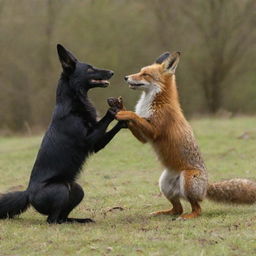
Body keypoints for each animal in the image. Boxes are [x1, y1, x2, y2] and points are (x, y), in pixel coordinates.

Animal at [0, 44, 126, 224]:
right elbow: (103, 121)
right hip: (60, 189)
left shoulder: (96, 144)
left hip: (76, 189)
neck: (74, 100)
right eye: (89, 69)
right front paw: (113, 110)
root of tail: (28, 194)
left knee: (62, 217)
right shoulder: (88, 140)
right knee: (52, 220)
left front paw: (123, 121)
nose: (112, 72)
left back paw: (80, 220)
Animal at [115, 51, 256, 218]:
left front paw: (124, 113)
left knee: (197, 209)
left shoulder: (155, 130)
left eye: (145, 74)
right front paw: (121, 110)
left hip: (187, 181)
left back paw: (187, 217)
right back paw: (163, 213)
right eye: (140, 71)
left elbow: (135, 116)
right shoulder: (145, 137)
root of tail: (205, 186)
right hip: (164, 184)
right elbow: (136, 123)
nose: (126, 77)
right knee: (177, 208)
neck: (155, 102)